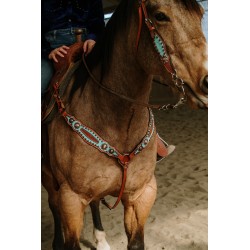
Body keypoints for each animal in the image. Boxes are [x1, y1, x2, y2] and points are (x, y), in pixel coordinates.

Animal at [42, 0, 208, 249]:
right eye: (160, 16)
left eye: (200, 13)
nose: (207, 81)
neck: (117, 123)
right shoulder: (71, 198)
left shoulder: (141, 195)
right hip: (50, 180)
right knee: (53, 205)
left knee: (95, 202)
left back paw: (101, 239)